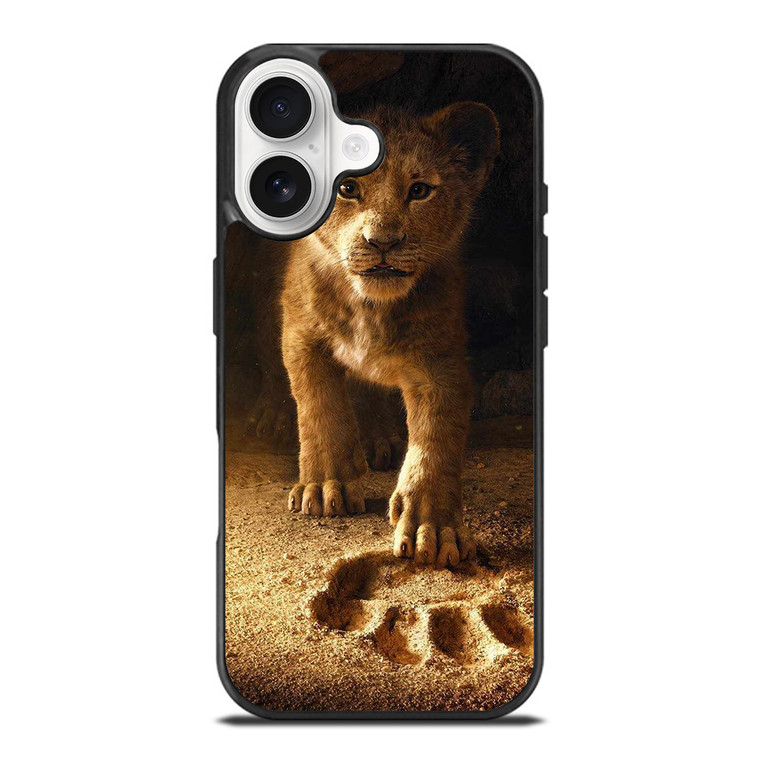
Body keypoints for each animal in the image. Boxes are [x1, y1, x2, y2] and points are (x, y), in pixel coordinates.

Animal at [277, 102, 500, 568]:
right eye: (347, 187)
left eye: (419, 190)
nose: (382, 242)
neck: (371, 307)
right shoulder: (301, 334)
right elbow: (319, 408)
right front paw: (325, 486)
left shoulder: (441, 360)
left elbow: (436, 439)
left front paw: (432, 528)